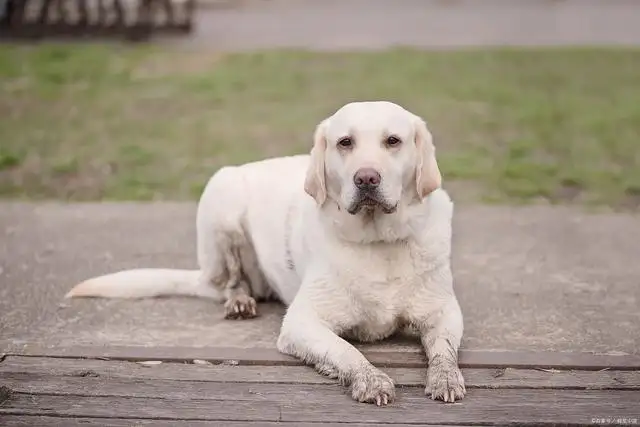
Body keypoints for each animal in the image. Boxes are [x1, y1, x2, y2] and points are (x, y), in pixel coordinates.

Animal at [66, 101, 464, 408]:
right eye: (345, 142)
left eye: (393, 141)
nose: (366, 178)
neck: (378, 243)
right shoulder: (302, 323)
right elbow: (345, 351)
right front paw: (370, 379)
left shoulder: (444, 311)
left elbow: (444, 349)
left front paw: (446, 378)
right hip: (223, 199)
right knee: (230, 280)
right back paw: (239, 301)